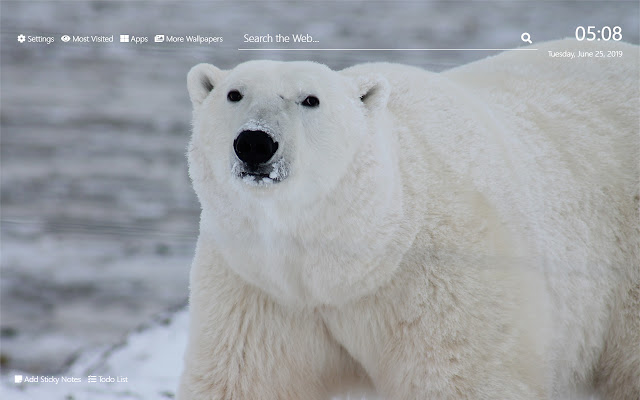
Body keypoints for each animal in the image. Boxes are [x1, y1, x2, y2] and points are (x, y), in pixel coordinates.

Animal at [179, 38, 640, 400]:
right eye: (234, 94)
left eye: (310, 99)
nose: (255, 143)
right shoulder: (259, 288)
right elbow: (245, 379)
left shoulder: (443, 277)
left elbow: (462, 378)